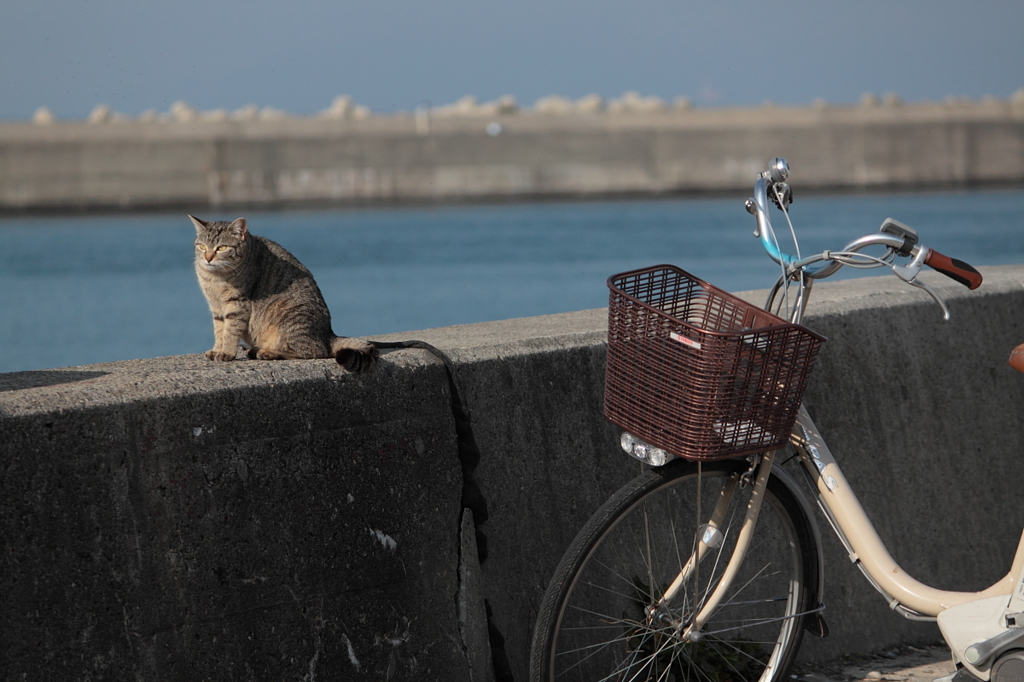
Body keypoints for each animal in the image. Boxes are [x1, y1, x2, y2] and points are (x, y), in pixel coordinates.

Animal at [190, 214, 378, 368]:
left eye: (221, 248)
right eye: (201, 246)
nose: (207, 258)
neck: (214, 278)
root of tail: (329, 335)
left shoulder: (237, 303)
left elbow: (230, 330)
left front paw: (226, 352)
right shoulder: (216, 306)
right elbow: (220, 330)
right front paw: (217, 349)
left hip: (290, 317)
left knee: (315, 351)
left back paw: (268, 352)